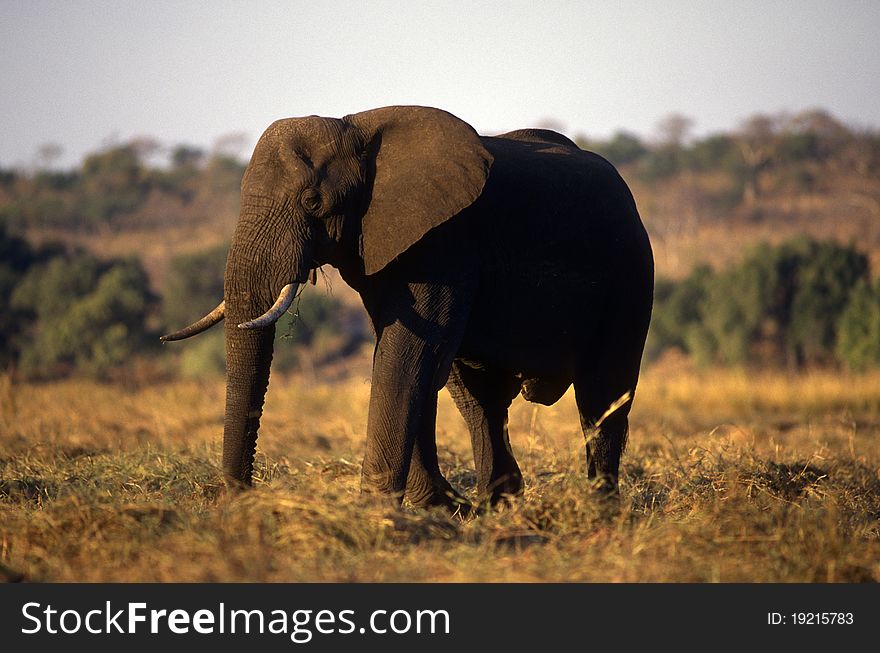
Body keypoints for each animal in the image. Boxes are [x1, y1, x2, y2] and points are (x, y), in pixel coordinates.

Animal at [162, 104, 648, 510]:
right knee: (480, 400)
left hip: (630, 275)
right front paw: (433, 507)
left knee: (602, 395)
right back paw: (496, 509)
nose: (238, 500)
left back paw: (599, 509)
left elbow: (407, 356)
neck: (355, 128)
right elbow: (407, 357)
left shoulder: (444, 241)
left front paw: (377, 513)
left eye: (312, 202)